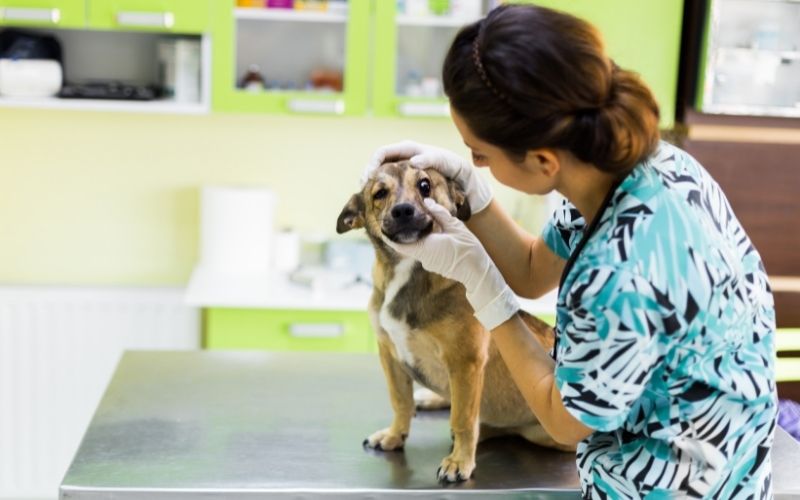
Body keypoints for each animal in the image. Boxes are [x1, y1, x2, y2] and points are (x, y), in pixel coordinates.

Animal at [334, 162, 572, 482]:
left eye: (424, 185)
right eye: (380, 193)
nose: (403, 211)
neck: (407, 269)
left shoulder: (465, 361)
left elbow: (463, 418)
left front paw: (460, 461)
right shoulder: (389, 354)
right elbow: (400, 402)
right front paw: (395, 435)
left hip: (547, 432)